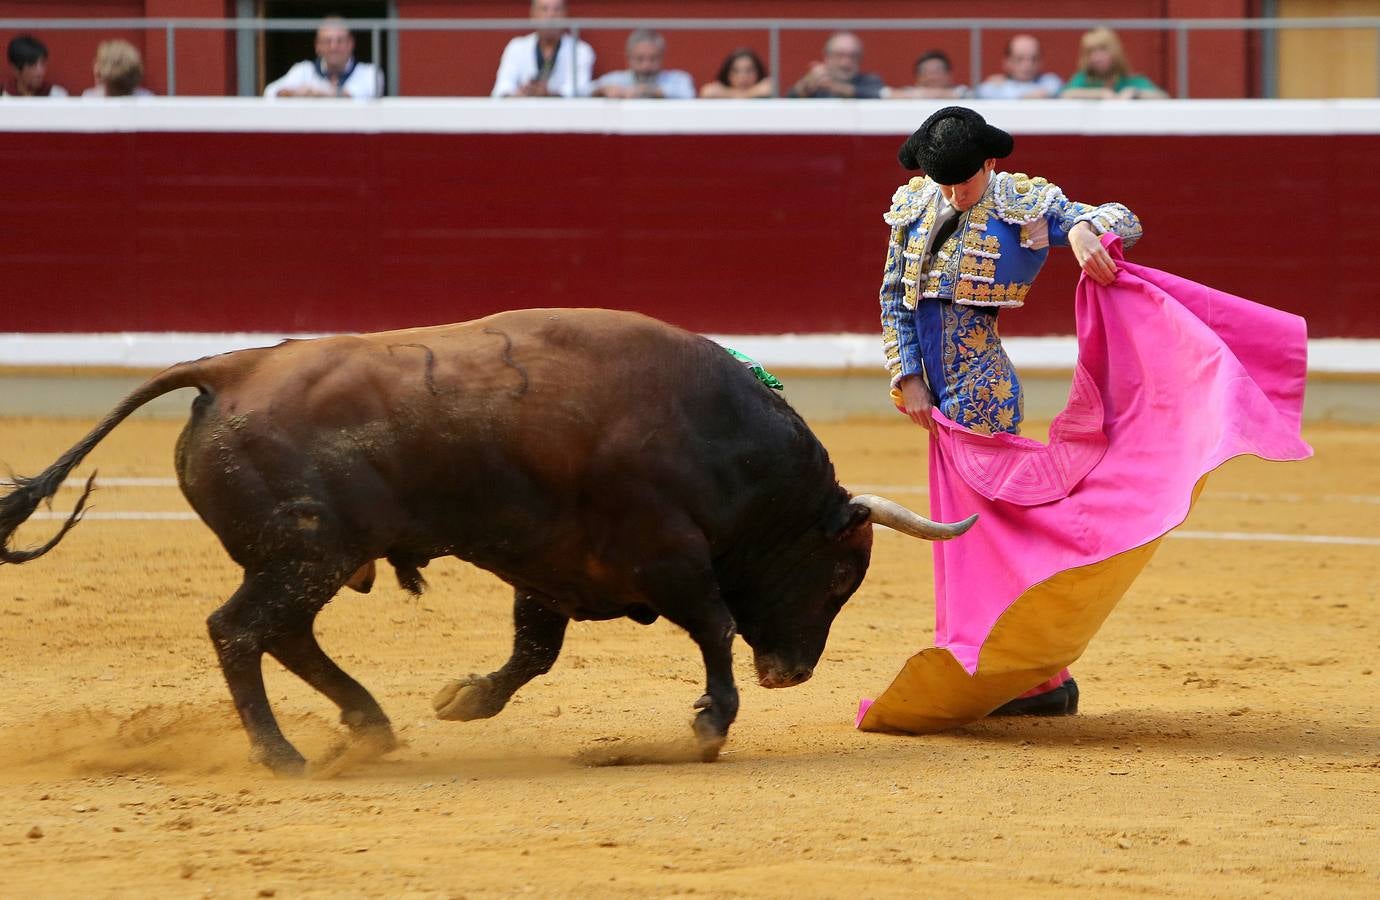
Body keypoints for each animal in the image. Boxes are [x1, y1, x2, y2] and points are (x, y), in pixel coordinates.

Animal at [0, 310, 971, 773]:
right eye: (841, 576)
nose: (793, 673)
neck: (718, 437)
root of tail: (230, 368)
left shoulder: (553, 566)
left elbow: (534, 651)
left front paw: (463, 698)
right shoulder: (668, 556)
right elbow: (715, 628)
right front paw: (707, 725)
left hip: (306, 559)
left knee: (284, 635)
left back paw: (369, 725)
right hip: (304, 554)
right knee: (240, 631)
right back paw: (286, 755)